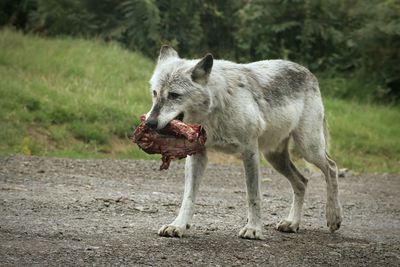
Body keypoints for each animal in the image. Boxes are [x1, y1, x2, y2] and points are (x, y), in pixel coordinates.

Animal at [145, 45, 342, 240]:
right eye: (155, 93)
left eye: (174, 95)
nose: (149, 123)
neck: (215, 108)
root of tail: (307, 71)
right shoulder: (197, 155)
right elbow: (188, 197)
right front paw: (178, 225)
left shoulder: (250, 151)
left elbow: (253, 195)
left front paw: (253, 229)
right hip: (275, 158)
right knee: (302, 181)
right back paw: (292, 223)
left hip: (308, 149)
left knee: (331, 168)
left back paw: (333, 217)